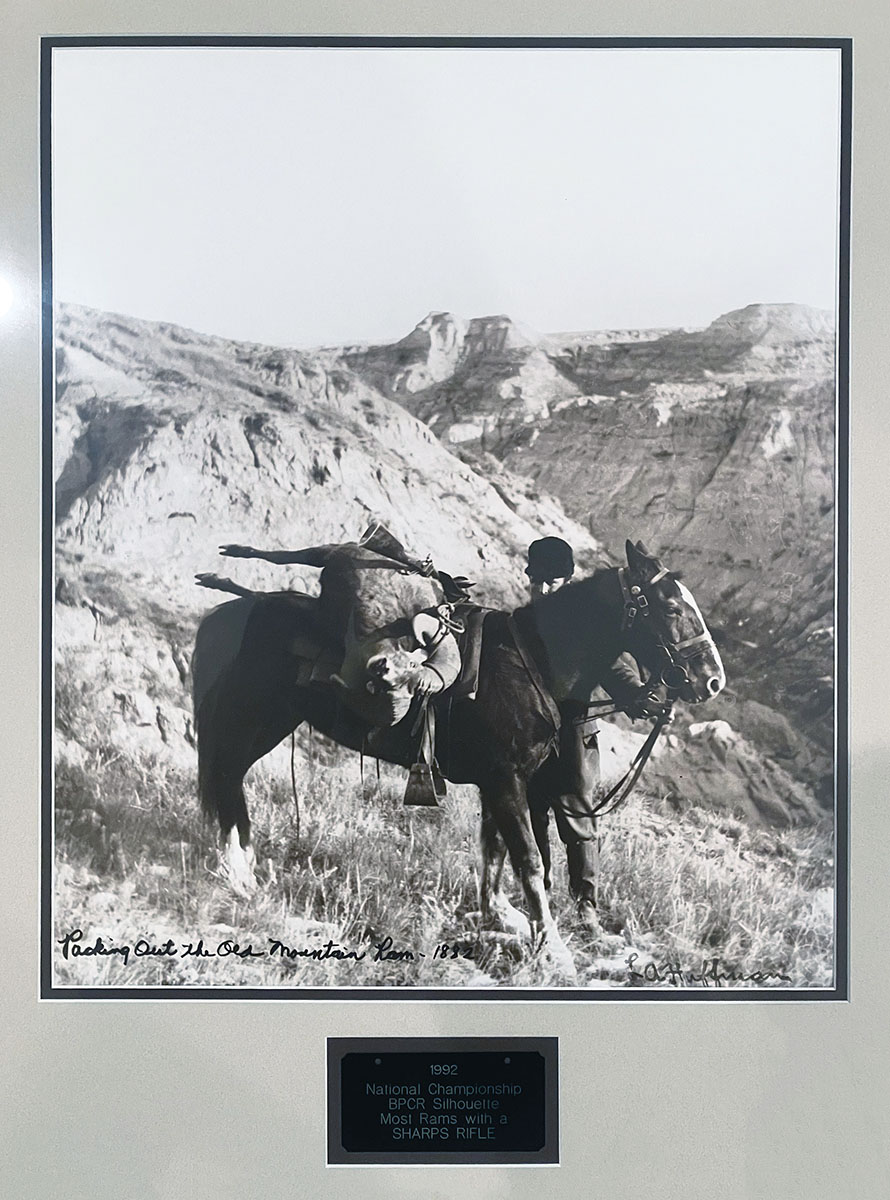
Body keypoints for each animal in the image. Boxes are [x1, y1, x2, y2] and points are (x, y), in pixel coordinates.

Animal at [193, 540, 724, 969]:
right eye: (670, 607)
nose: (712, 680)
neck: (530, 663)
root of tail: (230, 613)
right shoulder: (506, 779)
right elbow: (529, 860)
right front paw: (552, 947)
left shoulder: (500, 782)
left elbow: (494, 852)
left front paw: (501, 916)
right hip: (253, 717)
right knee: (227, 777)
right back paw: (238, 873)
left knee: (229, 781)